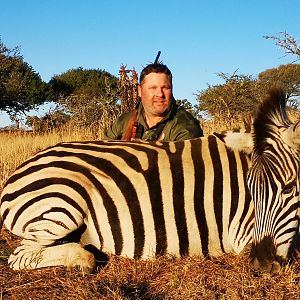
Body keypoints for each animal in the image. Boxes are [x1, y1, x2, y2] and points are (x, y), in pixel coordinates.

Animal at [0, 88, 298, 274]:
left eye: (288, 188)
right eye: (251, 191)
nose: (262, 266)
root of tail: (20, 169)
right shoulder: (241, 233)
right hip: (62, 205)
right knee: (20, 255)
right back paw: (82, 260)